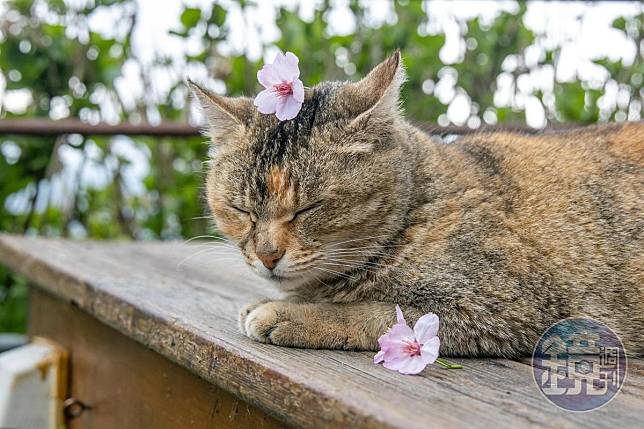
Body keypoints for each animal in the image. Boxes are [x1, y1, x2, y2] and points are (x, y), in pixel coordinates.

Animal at [190, 51, 644, 358]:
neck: (421, 205)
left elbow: (376, 314)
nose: (267, 255)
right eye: (241, 210)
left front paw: (291, 313)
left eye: (308, 209)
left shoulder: (502, 309)